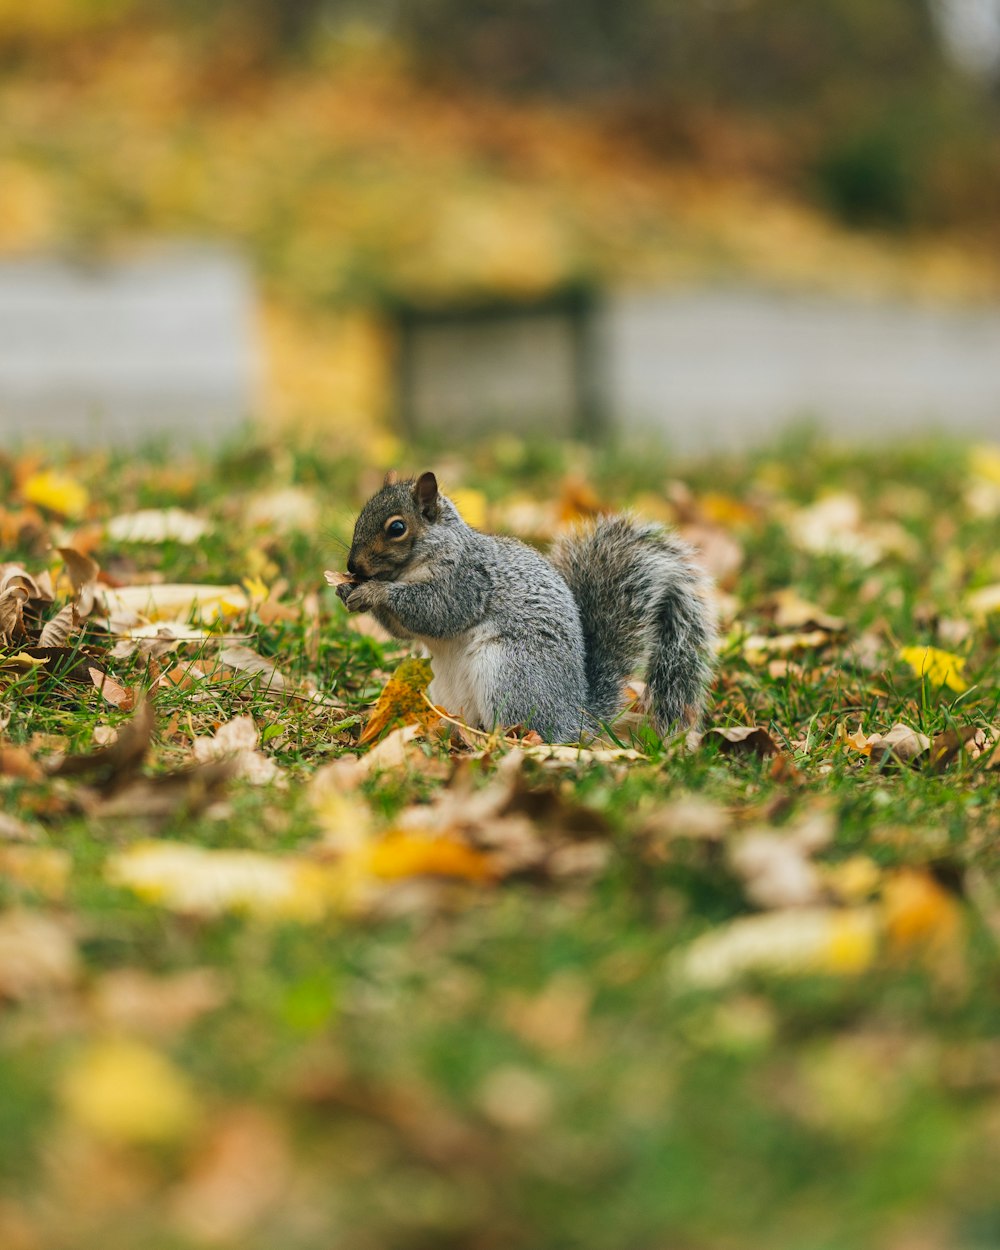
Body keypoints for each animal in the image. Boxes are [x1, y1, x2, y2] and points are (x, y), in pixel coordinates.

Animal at [335, 470, 720, 740]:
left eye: (397, 527)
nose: (353, 566)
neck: (414, 566)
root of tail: (574, 716)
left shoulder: (467, 582)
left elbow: (438, 611)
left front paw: (375, 592)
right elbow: (404, 630)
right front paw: (346, 590)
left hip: (511, 673)